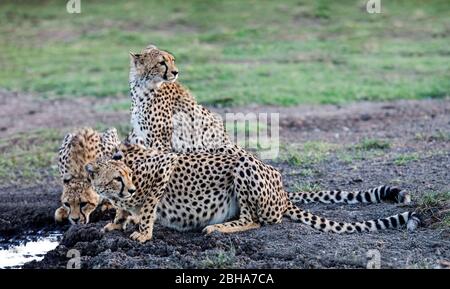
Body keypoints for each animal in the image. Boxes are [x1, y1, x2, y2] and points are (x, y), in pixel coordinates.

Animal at [86, 142, 420, 243]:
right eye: (116, 179)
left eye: (126, 177)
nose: (130, 187)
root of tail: (283, 192)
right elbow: (123, 209)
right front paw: (117, 222)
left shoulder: (164, 167)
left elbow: (148, 206)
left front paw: (143, 232)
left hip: (243, 167)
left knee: (255, 220)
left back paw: (218, 227)